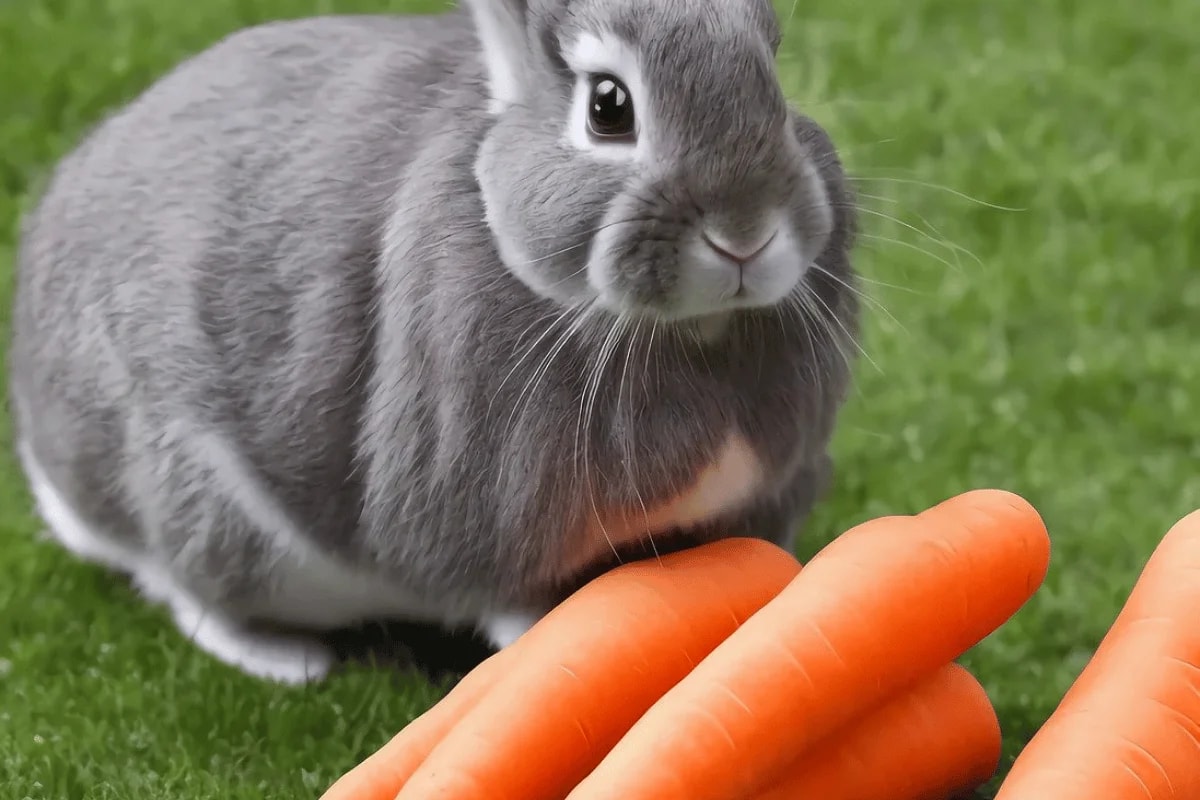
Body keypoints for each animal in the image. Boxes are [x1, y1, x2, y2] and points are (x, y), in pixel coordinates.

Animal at [4, 0, 859, 686]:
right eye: (609, 108)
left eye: (772, 74)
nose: (745, 233)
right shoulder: (496, 529)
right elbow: (523, 617)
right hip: (200, 498)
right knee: (188, 591)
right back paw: (286, 661)